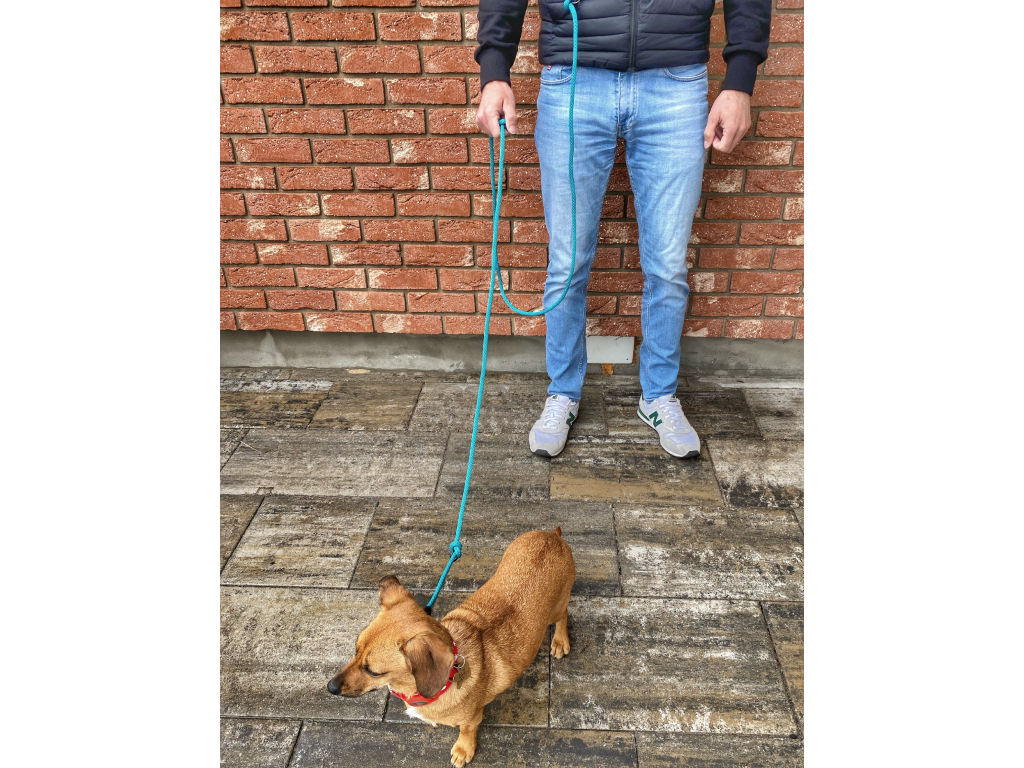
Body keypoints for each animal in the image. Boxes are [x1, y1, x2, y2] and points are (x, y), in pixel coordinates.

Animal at [327, 527, 575, 767]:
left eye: (372, 671)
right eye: (355, 650)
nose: (330, 687)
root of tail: (553, 536)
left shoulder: (471, 719)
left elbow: (466, 731)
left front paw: (463, 750)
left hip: (556, 609)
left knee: (564, 614)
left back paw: (560, 641)